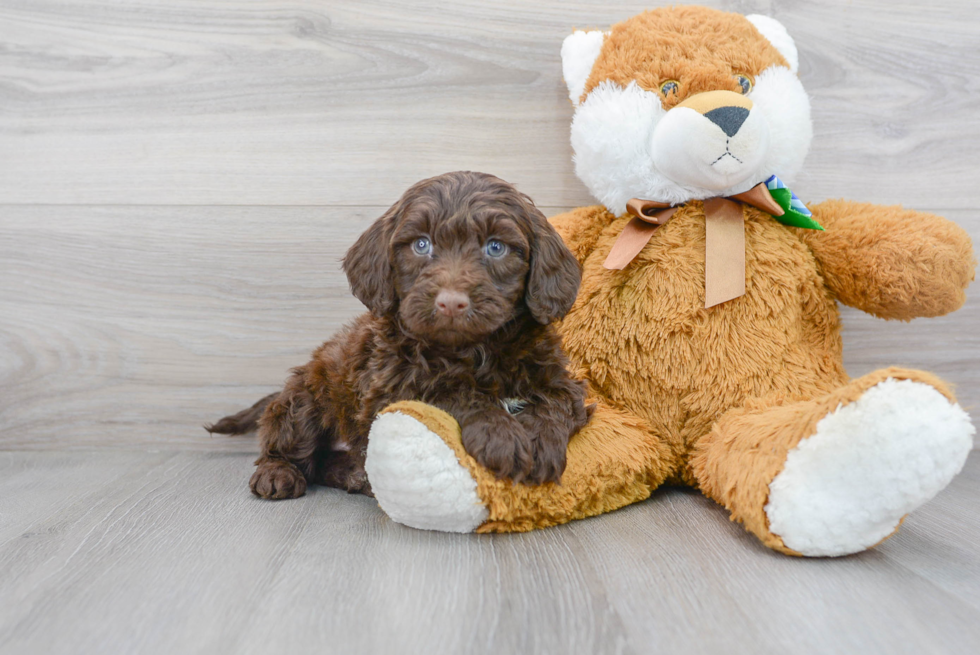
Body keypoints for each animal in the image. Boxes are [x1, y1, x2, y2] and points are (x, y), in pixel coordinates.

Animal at [208, 172, 588, 500]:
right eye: (421, 244)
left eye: (496, 247)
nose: (451, 302)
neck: (474, 350)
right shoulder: (391, 392)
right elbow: (449, 395)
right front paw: (502, 434)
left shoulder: (562, 381)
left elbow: (555, 402)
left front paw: (539, 441)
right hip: (306, 398)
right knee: (288, 445)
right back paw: (278, 474)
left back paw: (353, 474)